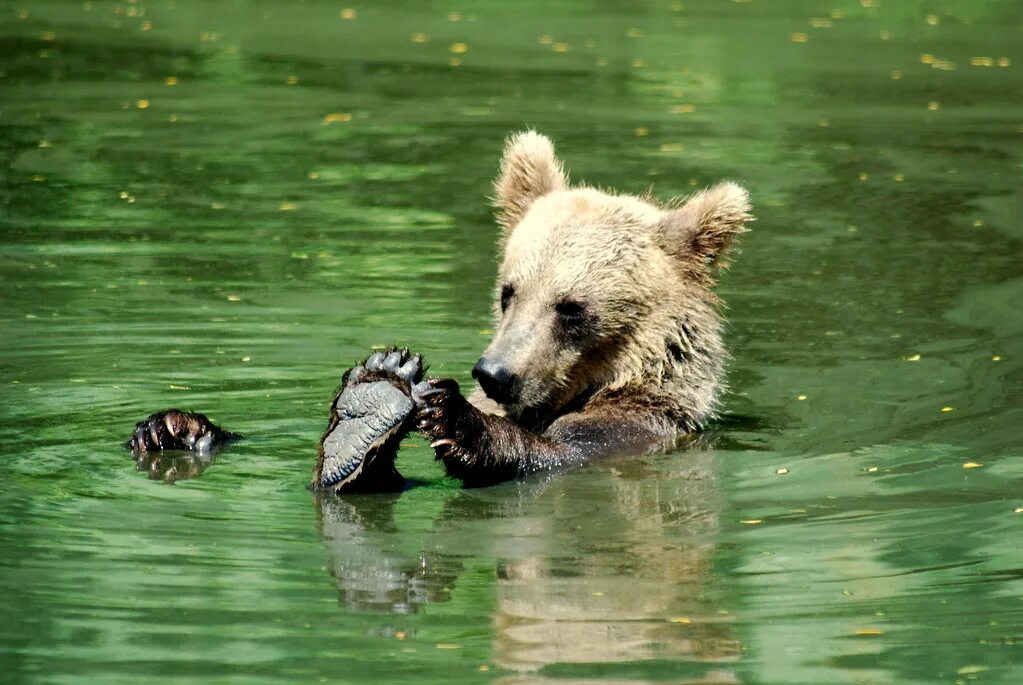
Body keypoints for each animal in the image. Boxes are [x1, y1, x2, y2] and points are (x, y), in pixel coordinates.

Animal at [127, 130, 752, 494]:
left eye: (571, 308)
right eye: (509, 291)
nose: (495, 374)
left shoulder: (636, 431)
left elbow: (560, 454)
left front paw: (455, 419)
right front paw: (174, 426)